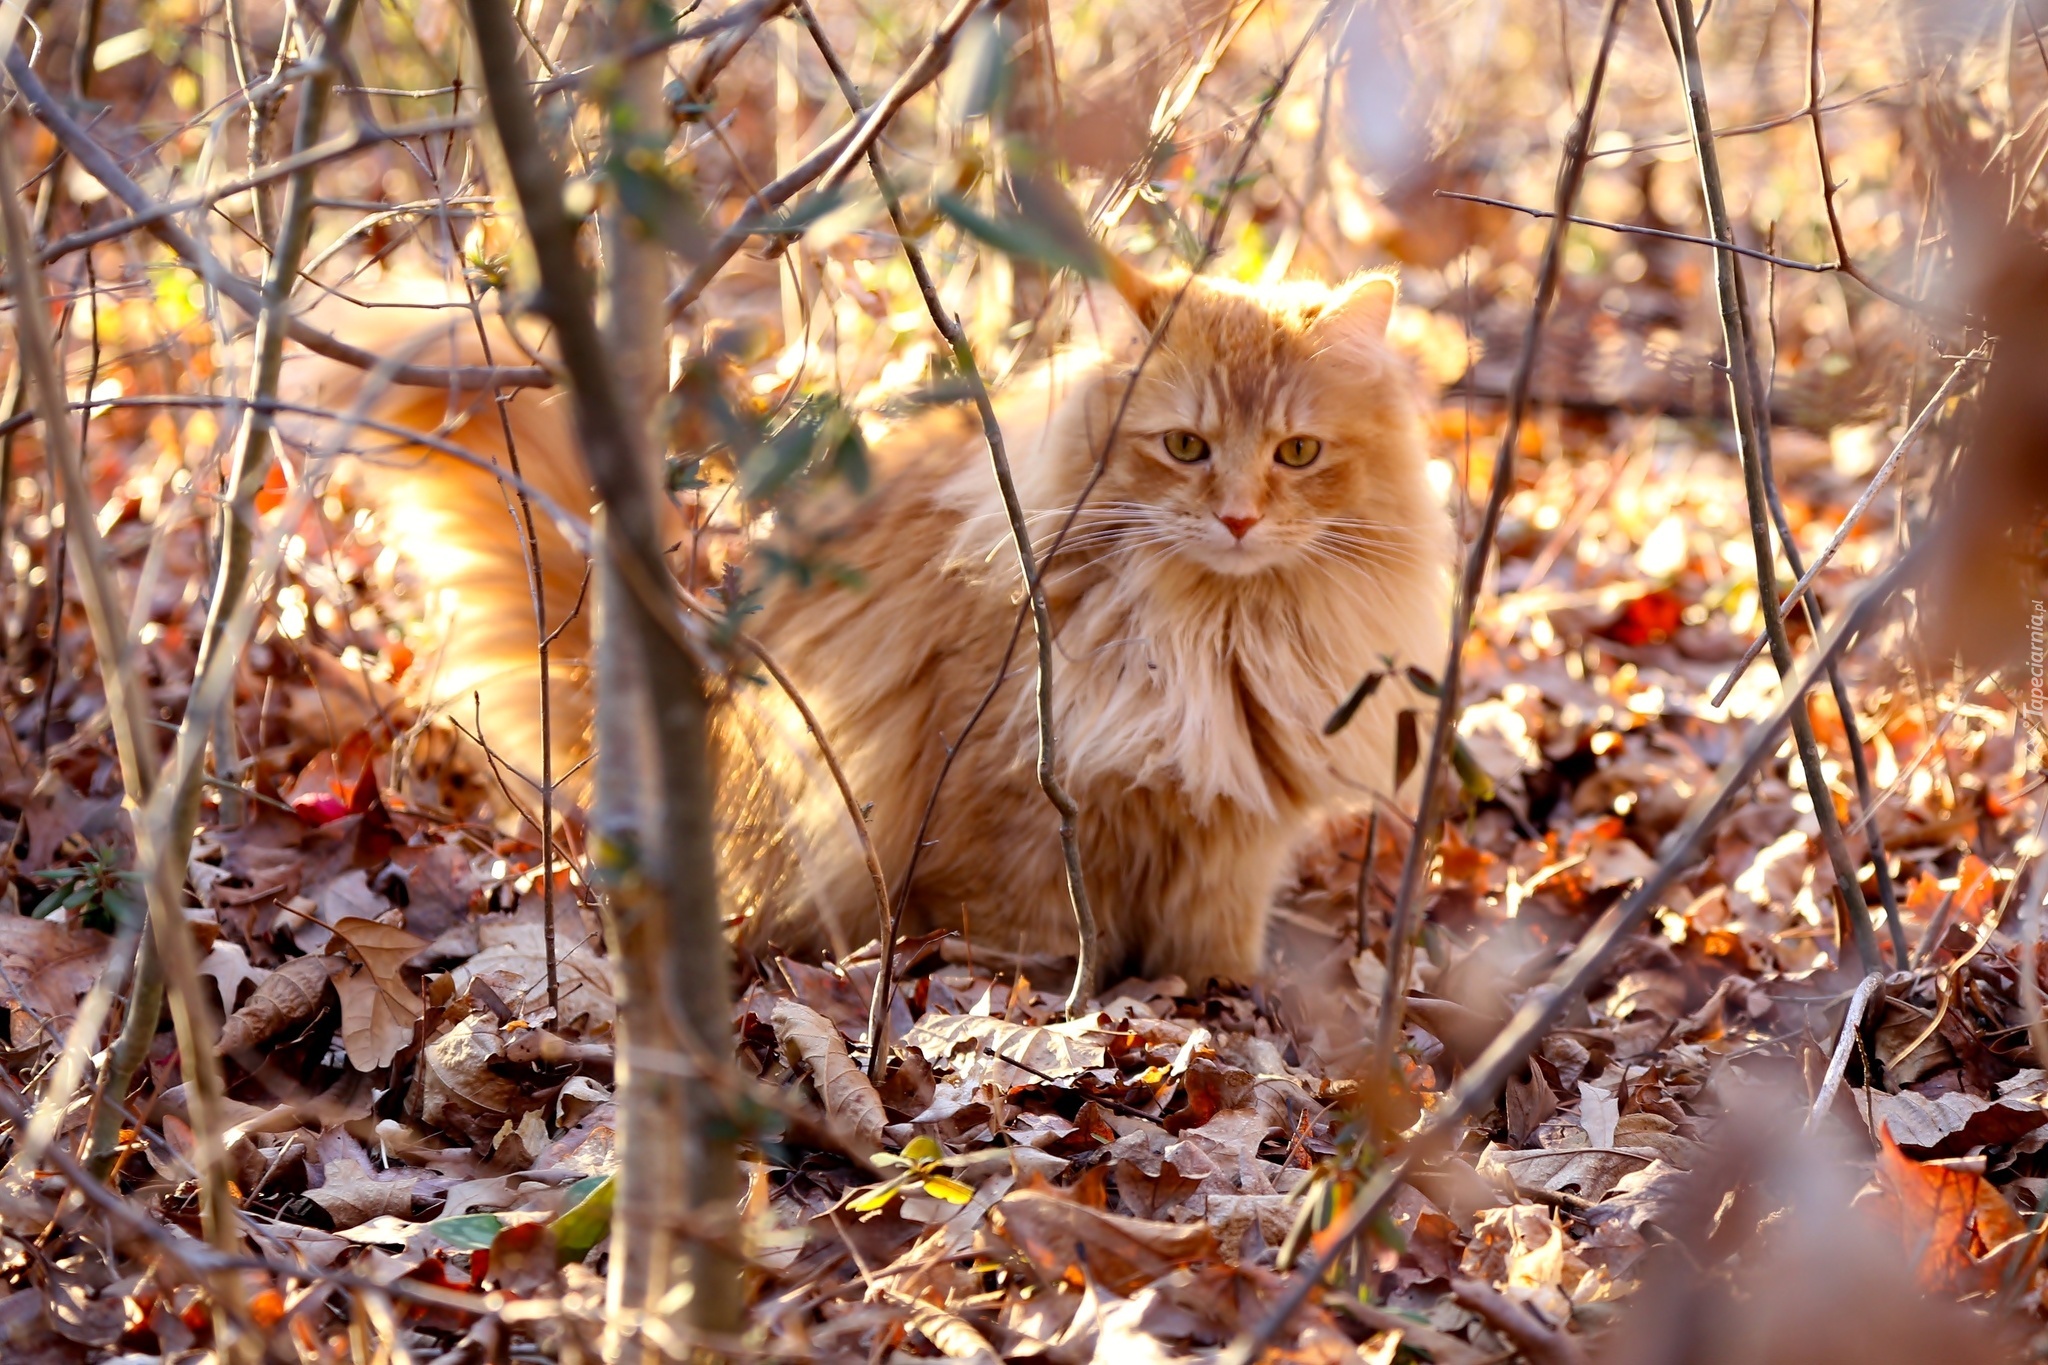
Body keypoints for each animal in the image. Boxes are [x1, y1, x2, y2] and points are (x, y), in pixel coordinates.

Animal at [339, 263, 1458, 982]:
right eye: (1185, 446)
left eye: (1297, 454)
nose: (1237, 518)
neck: (1212, 630)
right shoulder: (1016, 805)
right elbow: (1037, 937)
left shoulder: (1232, 837)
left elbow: (1211, 948)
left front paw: (1216, 1002)